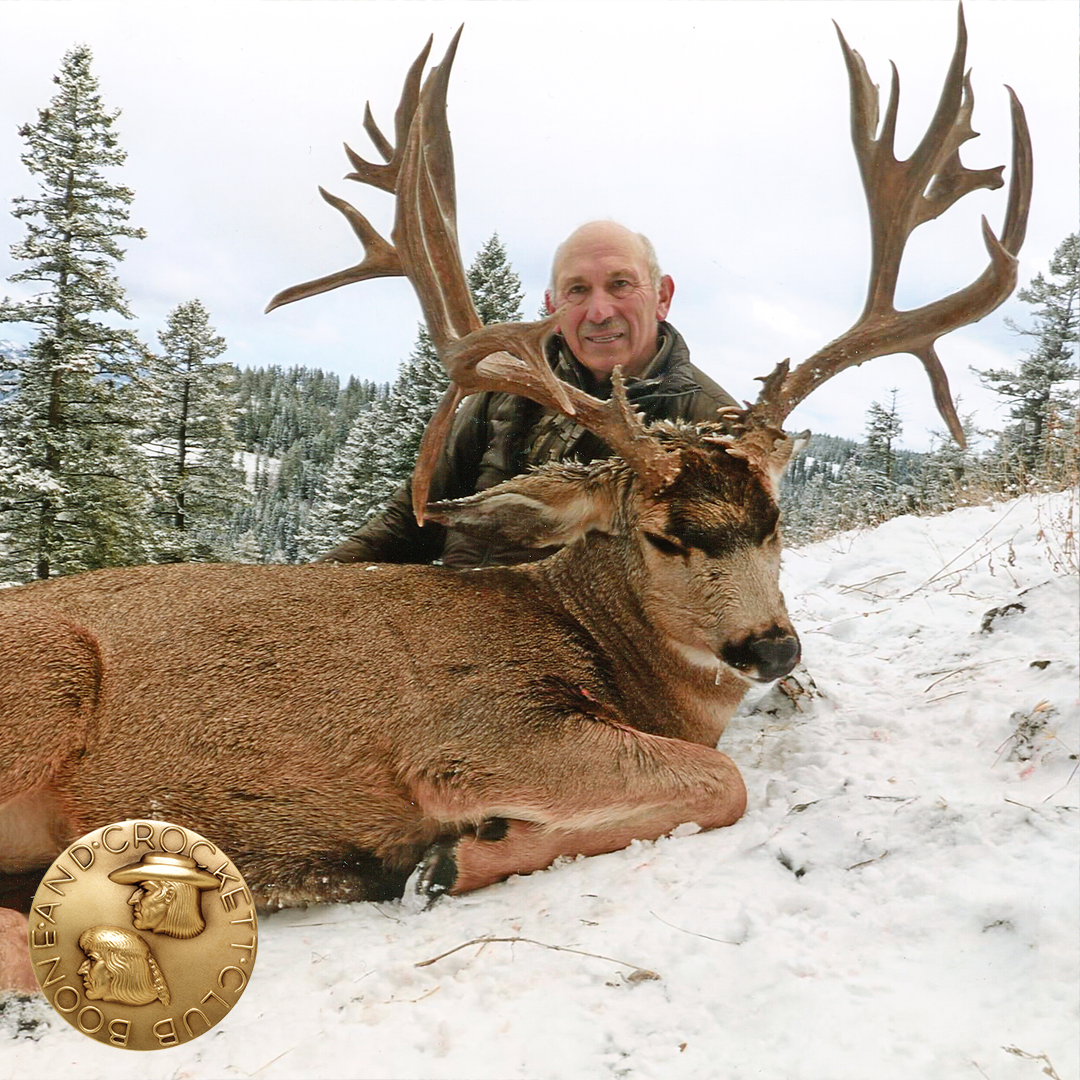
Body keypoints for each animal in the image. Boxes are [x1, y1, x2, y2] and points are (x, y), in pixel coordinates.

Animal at [0, 7, 1029, 986]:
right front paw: (451, 858)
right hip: (44, 686)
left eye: (778, 521)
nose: (772, 645)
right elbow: (720, 780)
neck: (605, 651)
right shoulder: (478, 732)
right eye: (660, 536)